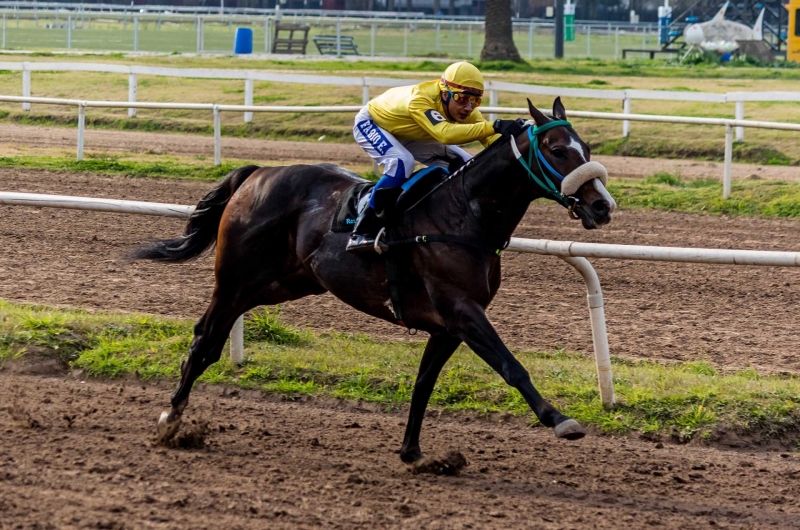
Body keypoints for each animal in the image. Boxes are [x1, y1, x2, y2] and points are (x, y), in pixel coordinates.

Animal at [134, 99, 616, 462]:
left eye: (587, 146)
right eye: (558, 150)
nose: (602, 206)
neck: (463, 215)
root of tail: (255, 174)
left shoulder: (448, 327)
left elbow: (424, 384)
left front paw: (413, 453)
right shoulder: (462, 311)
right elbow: (511, 366)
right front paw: (560, 420)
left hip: (278, 285)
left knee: (213, 337)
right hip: (235, 278)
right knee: (205, 339)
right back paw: (171, 420)